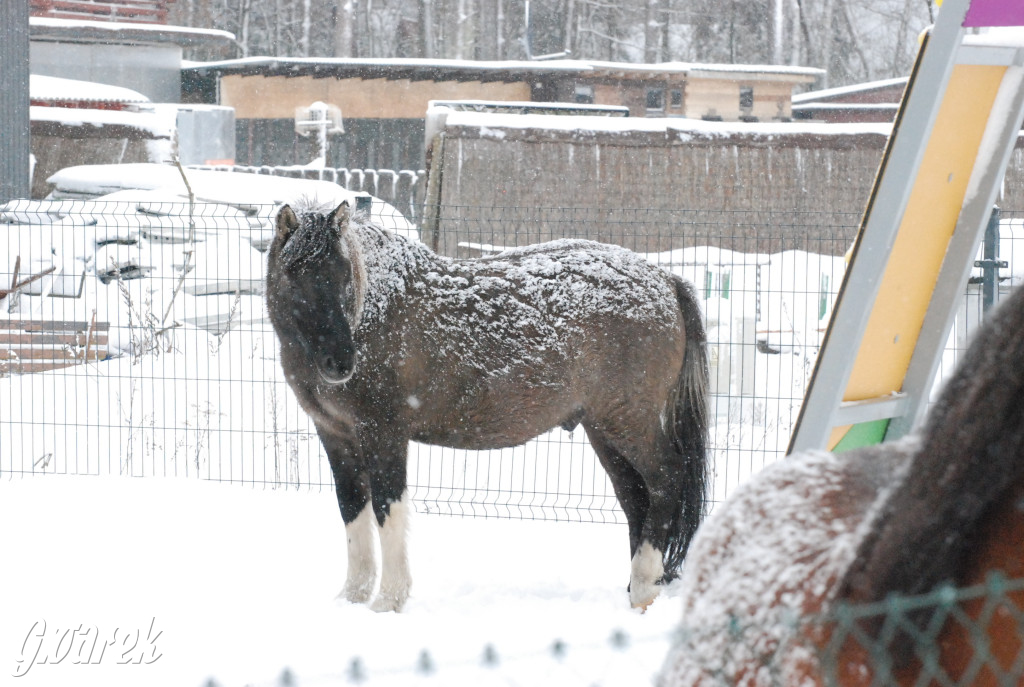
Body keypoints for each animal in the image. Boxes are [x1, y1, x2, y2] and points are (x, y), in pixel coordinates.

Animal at [266, 198, 712, 614]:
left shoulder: (384, 433)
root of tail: (666, 280)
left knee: (665, 481)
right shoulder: (336, 435)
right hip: (604, 430)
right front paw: (353, 597)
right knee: (636, 497)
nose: (340, 363)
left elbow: (387, 509)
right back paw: (636, 590)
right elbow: (352, 509)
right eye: (294, 275)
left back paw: (644, 585)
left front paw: (389, 600)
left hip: (630, 423)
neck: (374, 309)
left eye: (343, 275)